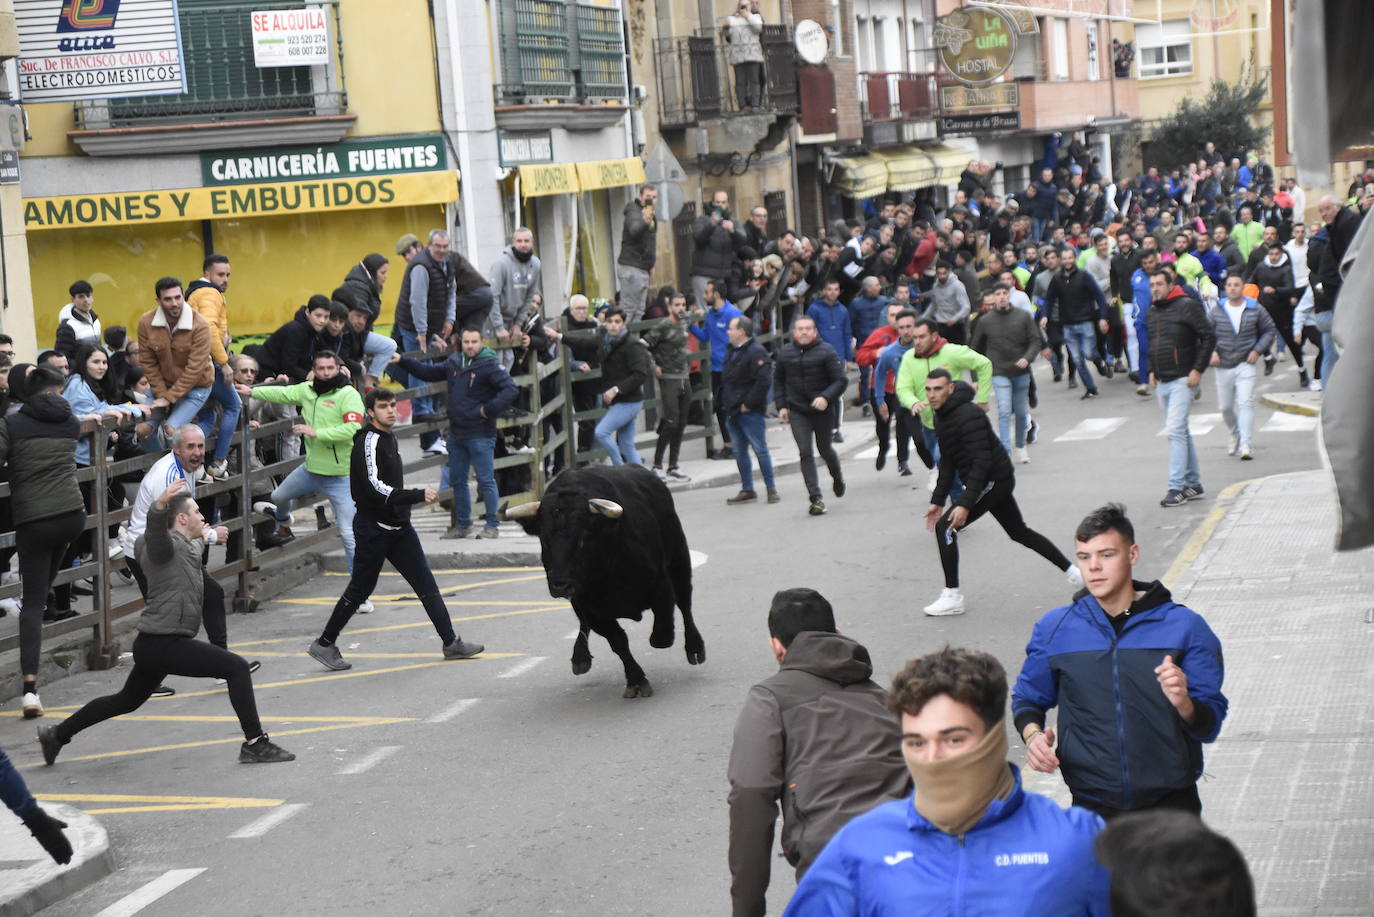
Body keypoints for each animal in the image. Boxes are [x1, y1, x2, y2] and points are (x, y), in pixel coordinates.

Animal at [500, 467, 703, 695]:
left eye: (583, 537)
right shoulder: (591, 609)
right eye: (544, 539)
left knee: (685, 603)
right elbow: (618, 641)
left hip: (679, 559)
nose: (560, 584)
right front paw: (636, 680)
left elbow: (662, 633)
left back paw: (695, 648)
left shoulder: (661, 584)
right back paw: (580, 657)